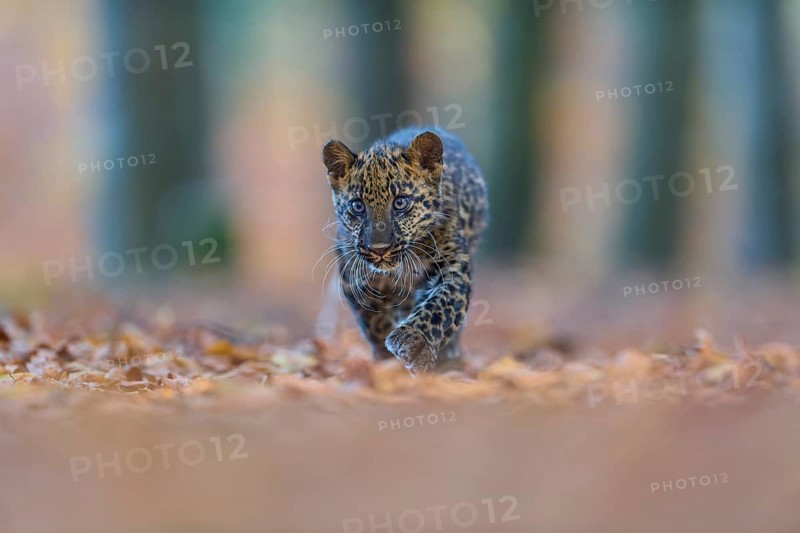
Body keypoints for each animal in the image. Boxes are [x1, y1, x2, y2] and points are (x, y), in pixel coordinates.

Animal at [321, 128, 488, 374]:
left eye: (400, 202)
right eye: (357, 206)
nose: (379, 249)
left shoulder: (454, 264)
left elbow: (443, 303)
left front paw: (415, 343)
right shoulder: (354, 278)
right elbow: (374, 321)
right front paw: (386, 360)